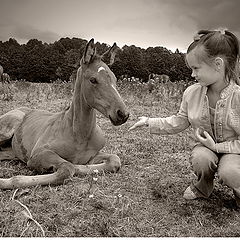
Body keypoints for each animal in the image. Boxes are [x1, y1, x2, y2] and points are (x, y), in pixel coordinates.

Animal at [0, 39, 129, 189]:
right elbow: (67, 168)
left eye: (115, 79)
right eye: (93, 80)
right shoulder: (39, 154)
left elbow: (114, 160)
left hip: (10, 152)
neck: (78, 134)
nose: (123, 114)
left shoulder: (93, 155)